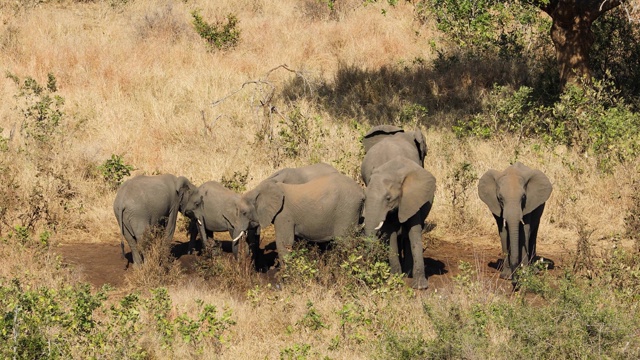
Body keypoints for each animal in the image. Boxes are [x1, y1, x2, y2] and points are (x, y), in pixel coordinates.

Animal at [362, 158, 438, 290]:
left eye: (388, 198)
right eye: (365, 197)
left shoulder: (412, 200)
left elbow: (414, 233)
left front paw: (420, 286)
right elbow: (391, 235)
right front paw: (394, 280)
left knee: (407, 236)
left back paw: (408, 272)